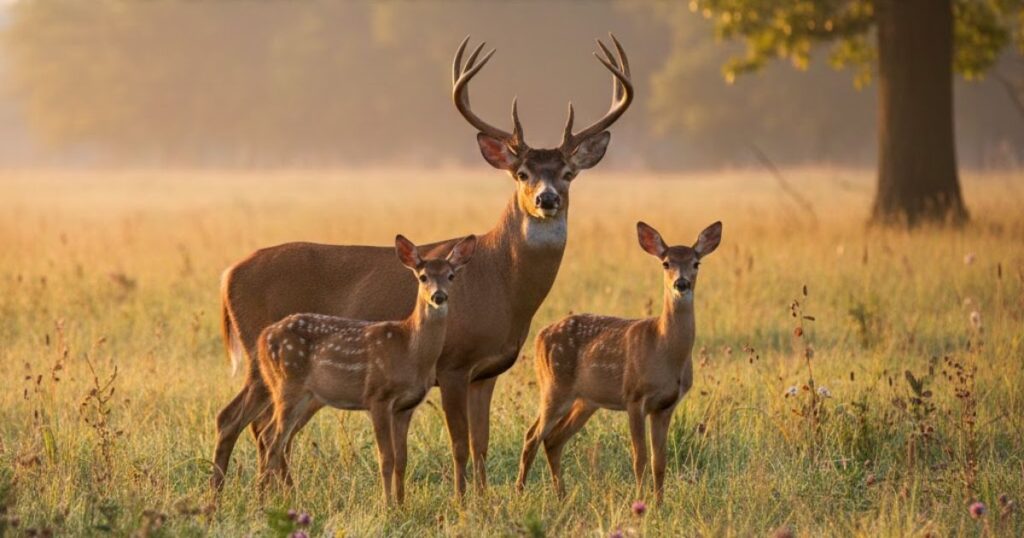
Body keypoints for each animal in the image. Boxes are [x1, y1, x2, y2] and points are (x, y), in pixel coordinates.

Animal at [256, 234, 476, 504]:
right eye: (423, 276)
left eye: (451, 275)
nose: (439, 296)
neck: (410, 350)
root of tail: (263, 338)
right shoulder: (377, 396)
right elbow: (386, 458)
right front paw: (387, 505)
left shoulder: (406, 406)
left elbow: (402, 459)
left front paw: (401, 504)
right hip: (288, 385)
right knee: (271, 438)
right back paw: (262, 499)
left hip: (302, 395)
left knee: (272, 436)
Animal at [515, 221, 722, 503]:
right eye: (666, 263)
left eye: (696, 262)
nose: (682, 284)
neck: (663, 348)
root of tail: (539, 335)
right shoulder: (633, 396)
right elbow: (640, 458)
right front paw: (641, 502)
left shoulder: (665, 406)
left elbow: (660, 461)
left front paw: (659, 504)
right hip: (553, 387)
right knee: (531, 436)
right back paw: (520, 492)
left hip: (585, 401)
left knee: (554, 440)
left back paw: (562, 496)